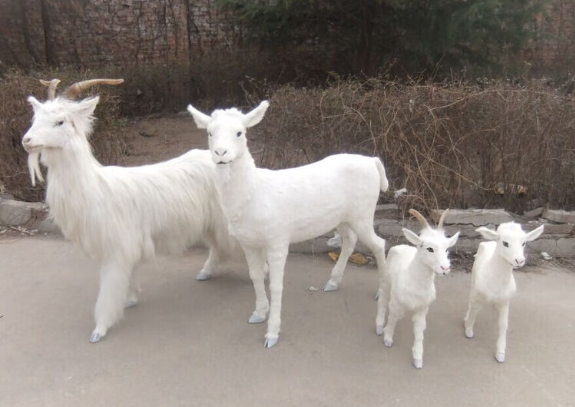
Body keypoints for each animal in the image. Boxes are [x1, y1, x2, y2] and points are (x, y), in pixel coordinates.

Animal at [22, 79, 239, 343]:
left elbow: (109, 289)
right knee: (217, 245)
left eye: (60, 121)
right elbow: (129, 274)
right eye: (35, 118)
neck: (95, 187)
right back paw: (205, 272)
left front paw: (100, 328)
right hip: (210, 220)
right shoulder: (127, 245)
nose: (27, 141)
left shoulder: (116, 249)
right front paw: (131, 298)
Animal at [187, 100, 389, 348]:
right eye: (209, 132)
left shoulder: (277, 240)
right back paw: (332, 282)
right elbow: (255, 276)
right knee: (350, 240)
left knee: (379, 243)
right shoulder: (248, 242)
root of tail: (373, 162)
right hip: (342, 216)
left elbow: (276, 285)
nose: (220, 153)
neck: (254, 192)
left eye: (239, 132)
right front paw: (258, 313)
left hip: (364, 212)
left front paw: (272, 334)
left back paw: (382, 293)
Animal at [375, 209, 460, 369]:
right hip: (386, 283)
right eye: (429, 248)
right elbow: (392, 319)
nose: (445, 268)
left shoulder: (423, 309)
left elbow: (419, 332)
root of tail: (401, 246)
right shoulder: (395, 304)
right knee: (382, 301)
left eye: (447, 249)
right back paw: (378, 326)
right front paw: (387, 339)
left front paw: (418, 359)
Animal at [464, 222, 544, 363]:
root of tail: (491, 242)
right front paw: (468, 329)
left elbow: (503, 325)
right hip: (473, 279)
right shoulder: (478, 295)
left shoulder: (505, 302)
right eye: (505, 243)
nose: (519, 260)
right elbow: (474, 312)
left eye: (524, 243)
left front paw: (500, 353)